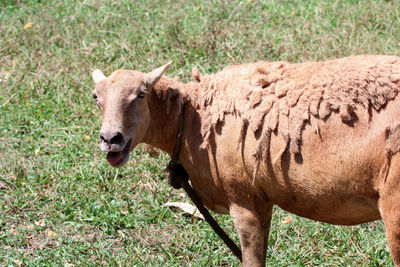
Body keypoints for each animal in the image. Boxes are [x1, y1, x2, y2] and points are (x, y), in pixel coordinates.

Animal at [92, 55, 400, 266]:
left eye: (141, 94)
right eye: (96, 97)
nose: (110, 138)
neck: (193, 117)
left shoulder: (242, 200)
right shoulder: (262, 198)